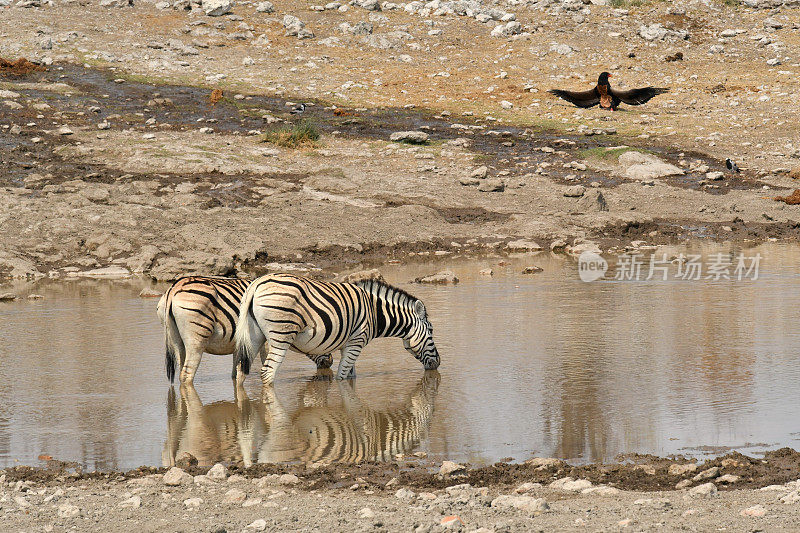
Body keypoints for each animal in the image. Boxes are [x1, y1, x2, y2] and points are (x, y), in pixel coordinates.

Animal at [155, 274, 332, 382]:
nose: (329, 362)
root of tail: (173, 288)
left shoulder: (239, 345)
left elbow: (235, 371)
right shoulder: (265, 342)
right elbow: (265, 363)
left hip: (176, 340)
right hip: (196, 339)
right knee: (187, 374)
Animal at [234, 274, 440, 382]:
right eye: (431, 331)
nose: (438, 363)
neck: (375, 312)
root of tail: (256, 284)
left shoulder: (349, 345)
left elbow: (350, 376)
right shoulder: (356, 342)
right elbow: (342, 376)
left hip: (254, 336)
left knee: (240, 372)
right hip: (280, 336)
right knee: (267, 372)